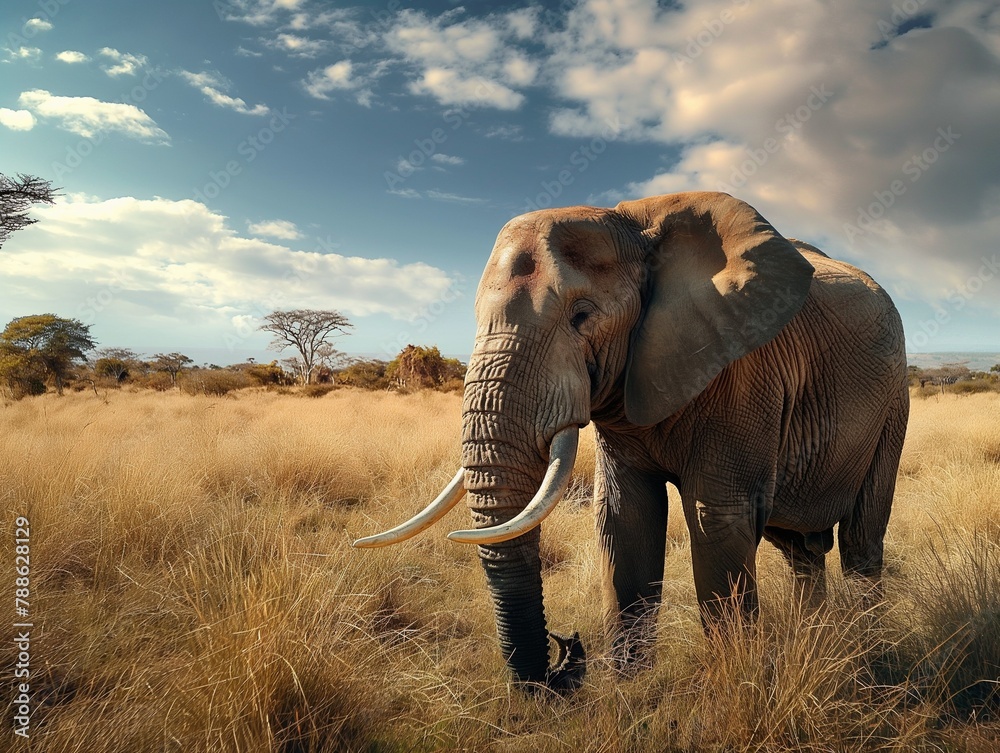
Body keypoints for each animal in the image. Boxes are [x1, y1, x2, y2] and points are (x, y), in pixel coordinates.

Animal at [355, 191, 910, 693]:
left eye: (581, 316)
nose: (566, 653)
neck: (634, 225)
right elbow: (625, 517)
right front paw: (629, 690)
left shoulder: (745, 371)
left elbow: (717, 518)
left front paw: (735, 685)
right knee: (800, 547)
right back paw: (818, 640)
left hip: (893, 404)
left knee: (860, 538)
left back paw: (866, 652)